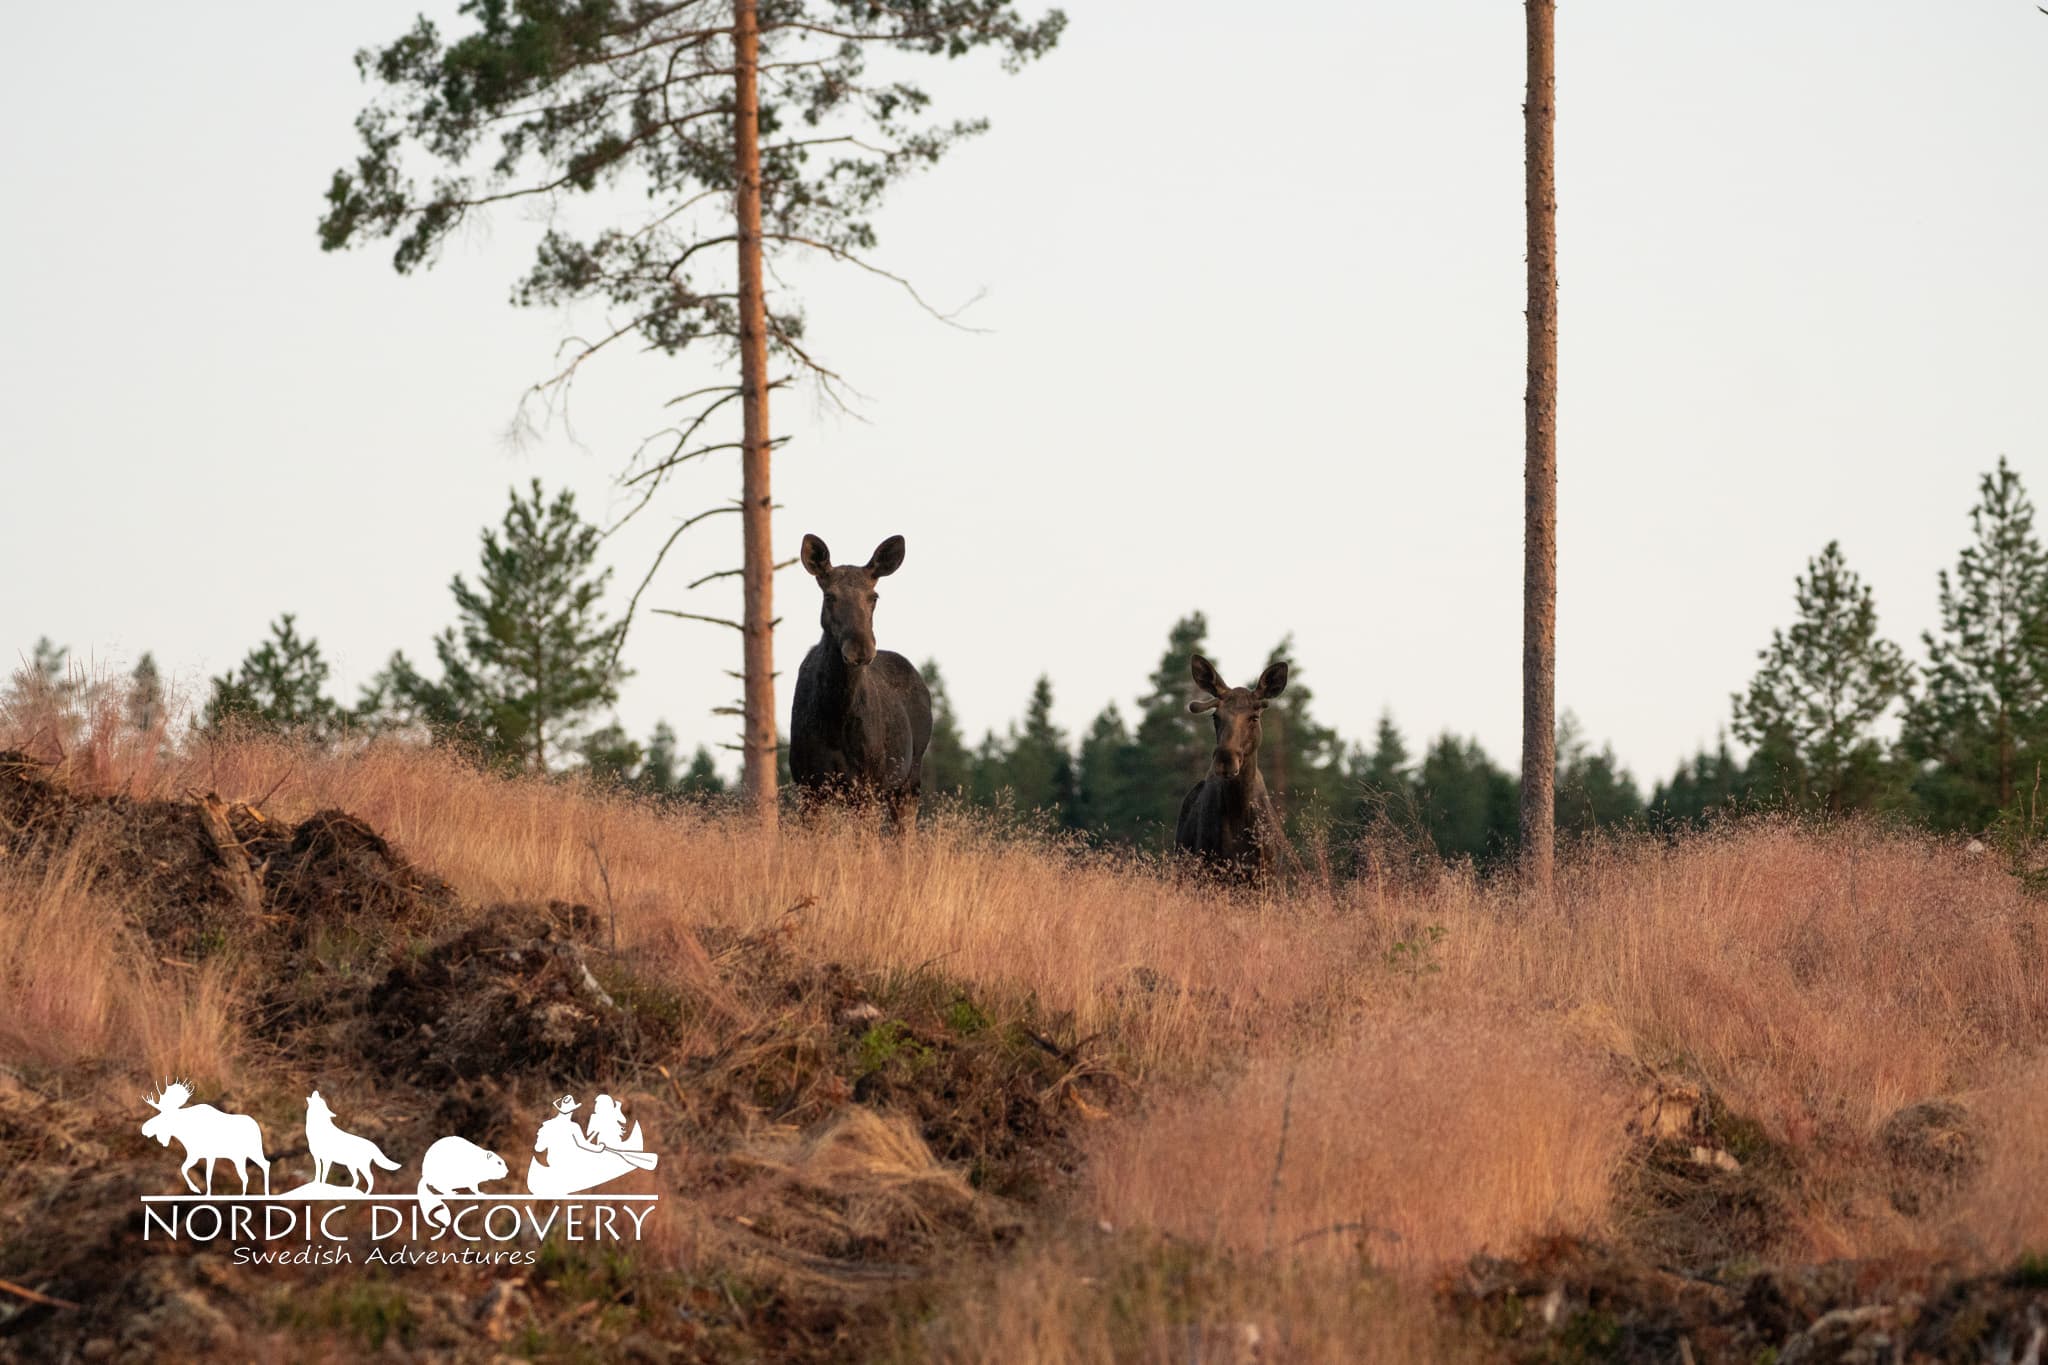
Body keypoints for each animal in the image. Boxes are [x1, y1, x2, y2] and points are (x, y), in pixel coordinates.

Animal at [140, 1081, 271, 1196]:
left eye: (163, 1115)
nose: (144, 1128)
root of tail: (257, 1125)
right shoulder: (194, 1155)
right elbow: (183, 1168)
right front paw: (196, 1189)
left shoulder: (210, 1155)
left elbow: (208, 1176)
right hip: (239, 1157)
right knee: (247, 1175)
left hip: (254, 1151)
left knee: (265, 1164)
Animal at [789, 533, 933, 830]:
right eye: (829, 595)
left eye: (874, 596)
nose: (860, 649)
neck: (834, 716)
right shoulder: (809, 785)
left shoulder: (866, 786)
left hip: (909, 779)